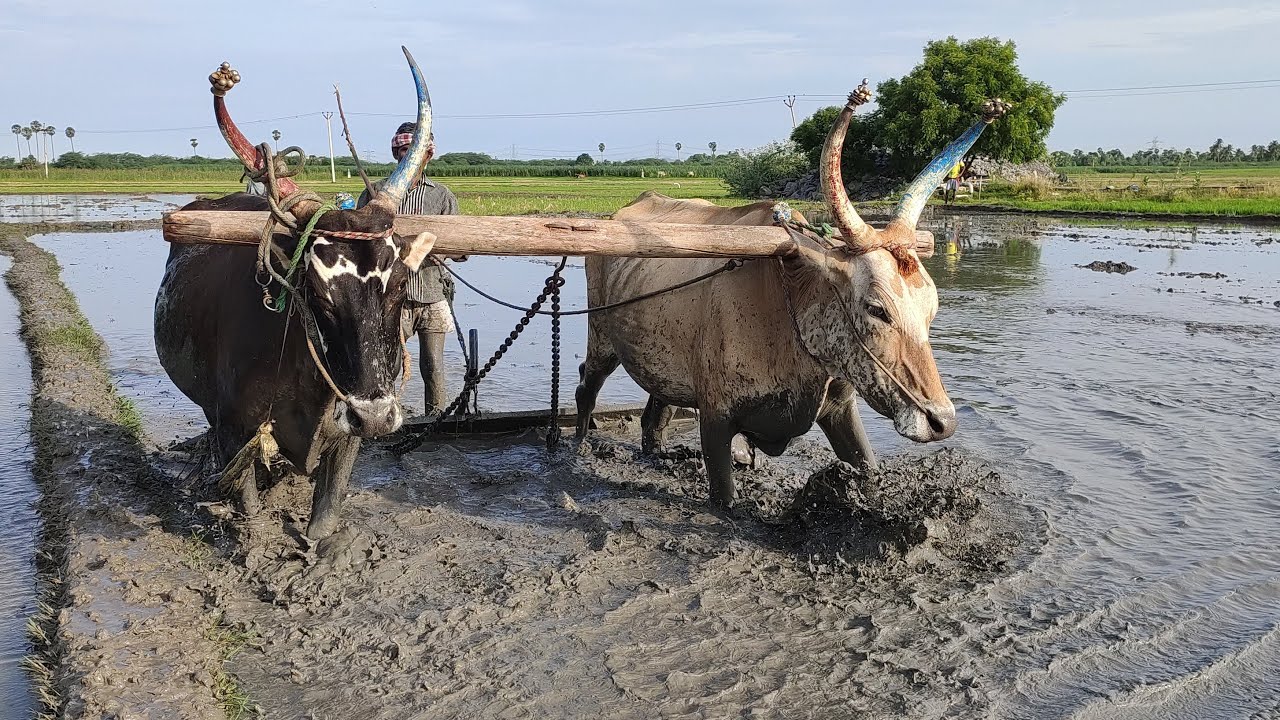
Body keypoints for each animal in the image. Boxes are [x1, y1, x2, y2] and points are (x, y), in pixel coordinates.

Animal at [154, 48, 437, 540]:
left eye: (401, 288)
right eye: (318, 294)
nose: (376, 417)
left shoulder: (345, 440)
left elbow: (324, 519)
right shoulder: (235, 428)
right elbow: (249, 508)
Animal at [576, 86, 1010, 506]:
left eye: (931, 310)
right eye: (876, 309)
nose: (942, 422)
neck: (788, 303)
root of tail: (626, 209)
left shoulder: (840, 409)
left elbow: (866, 464)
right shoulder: (716, 417)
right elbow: (725, 499)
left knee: (655, 411)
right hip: (601, 336)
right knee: (586, 385)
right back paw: (576, 446)